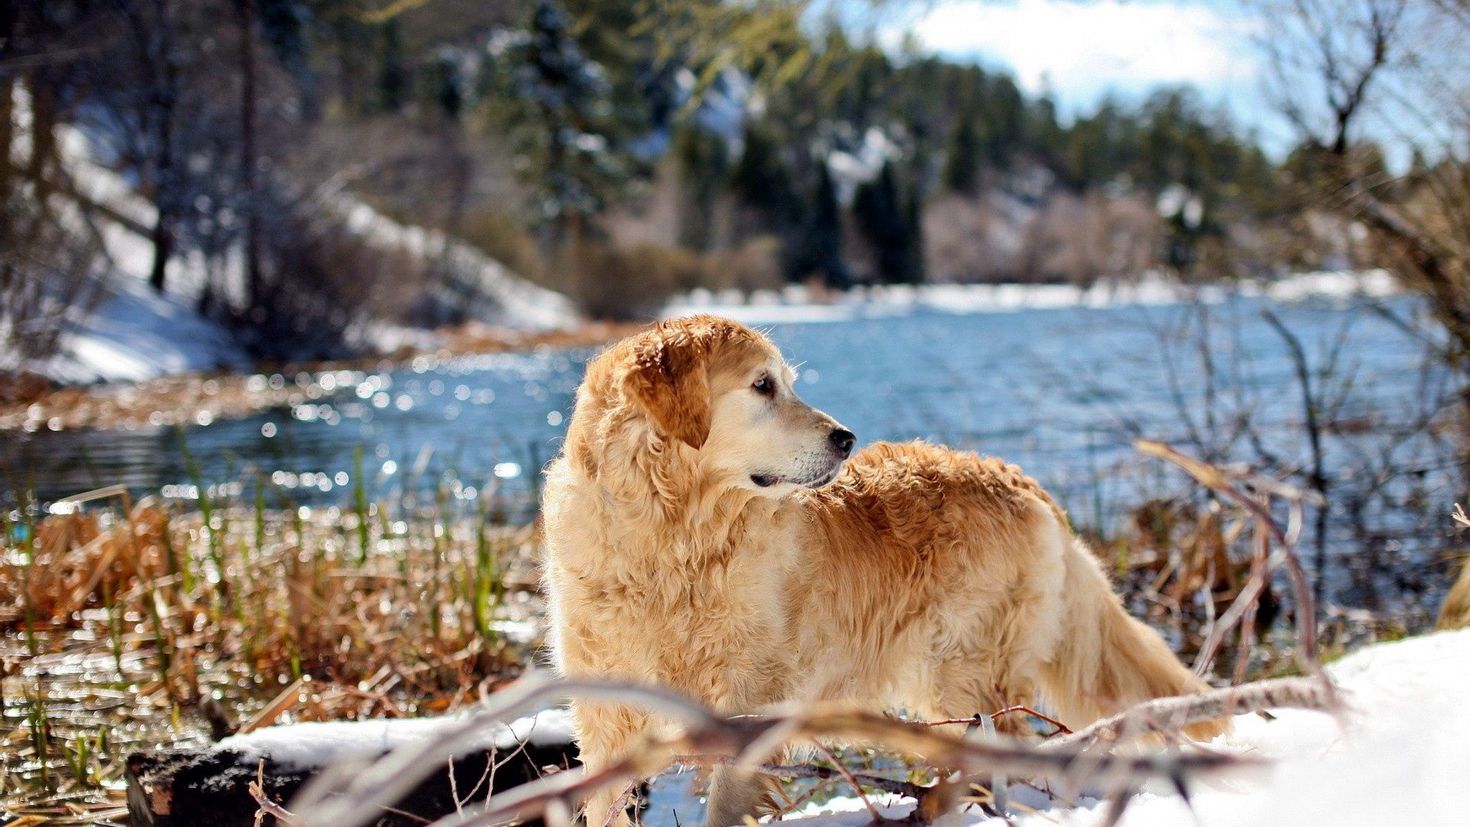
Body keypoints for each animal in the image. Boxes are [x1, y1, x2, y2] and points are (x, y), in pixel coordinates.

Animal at [546, 314, 1223, 822]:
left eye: (785, 382)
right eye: (763, 386)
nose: (847, 438)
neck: (671, 536)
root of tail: (1020, 480)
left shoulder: (747, 702)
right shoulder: (605, 715)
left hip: (967, 671)